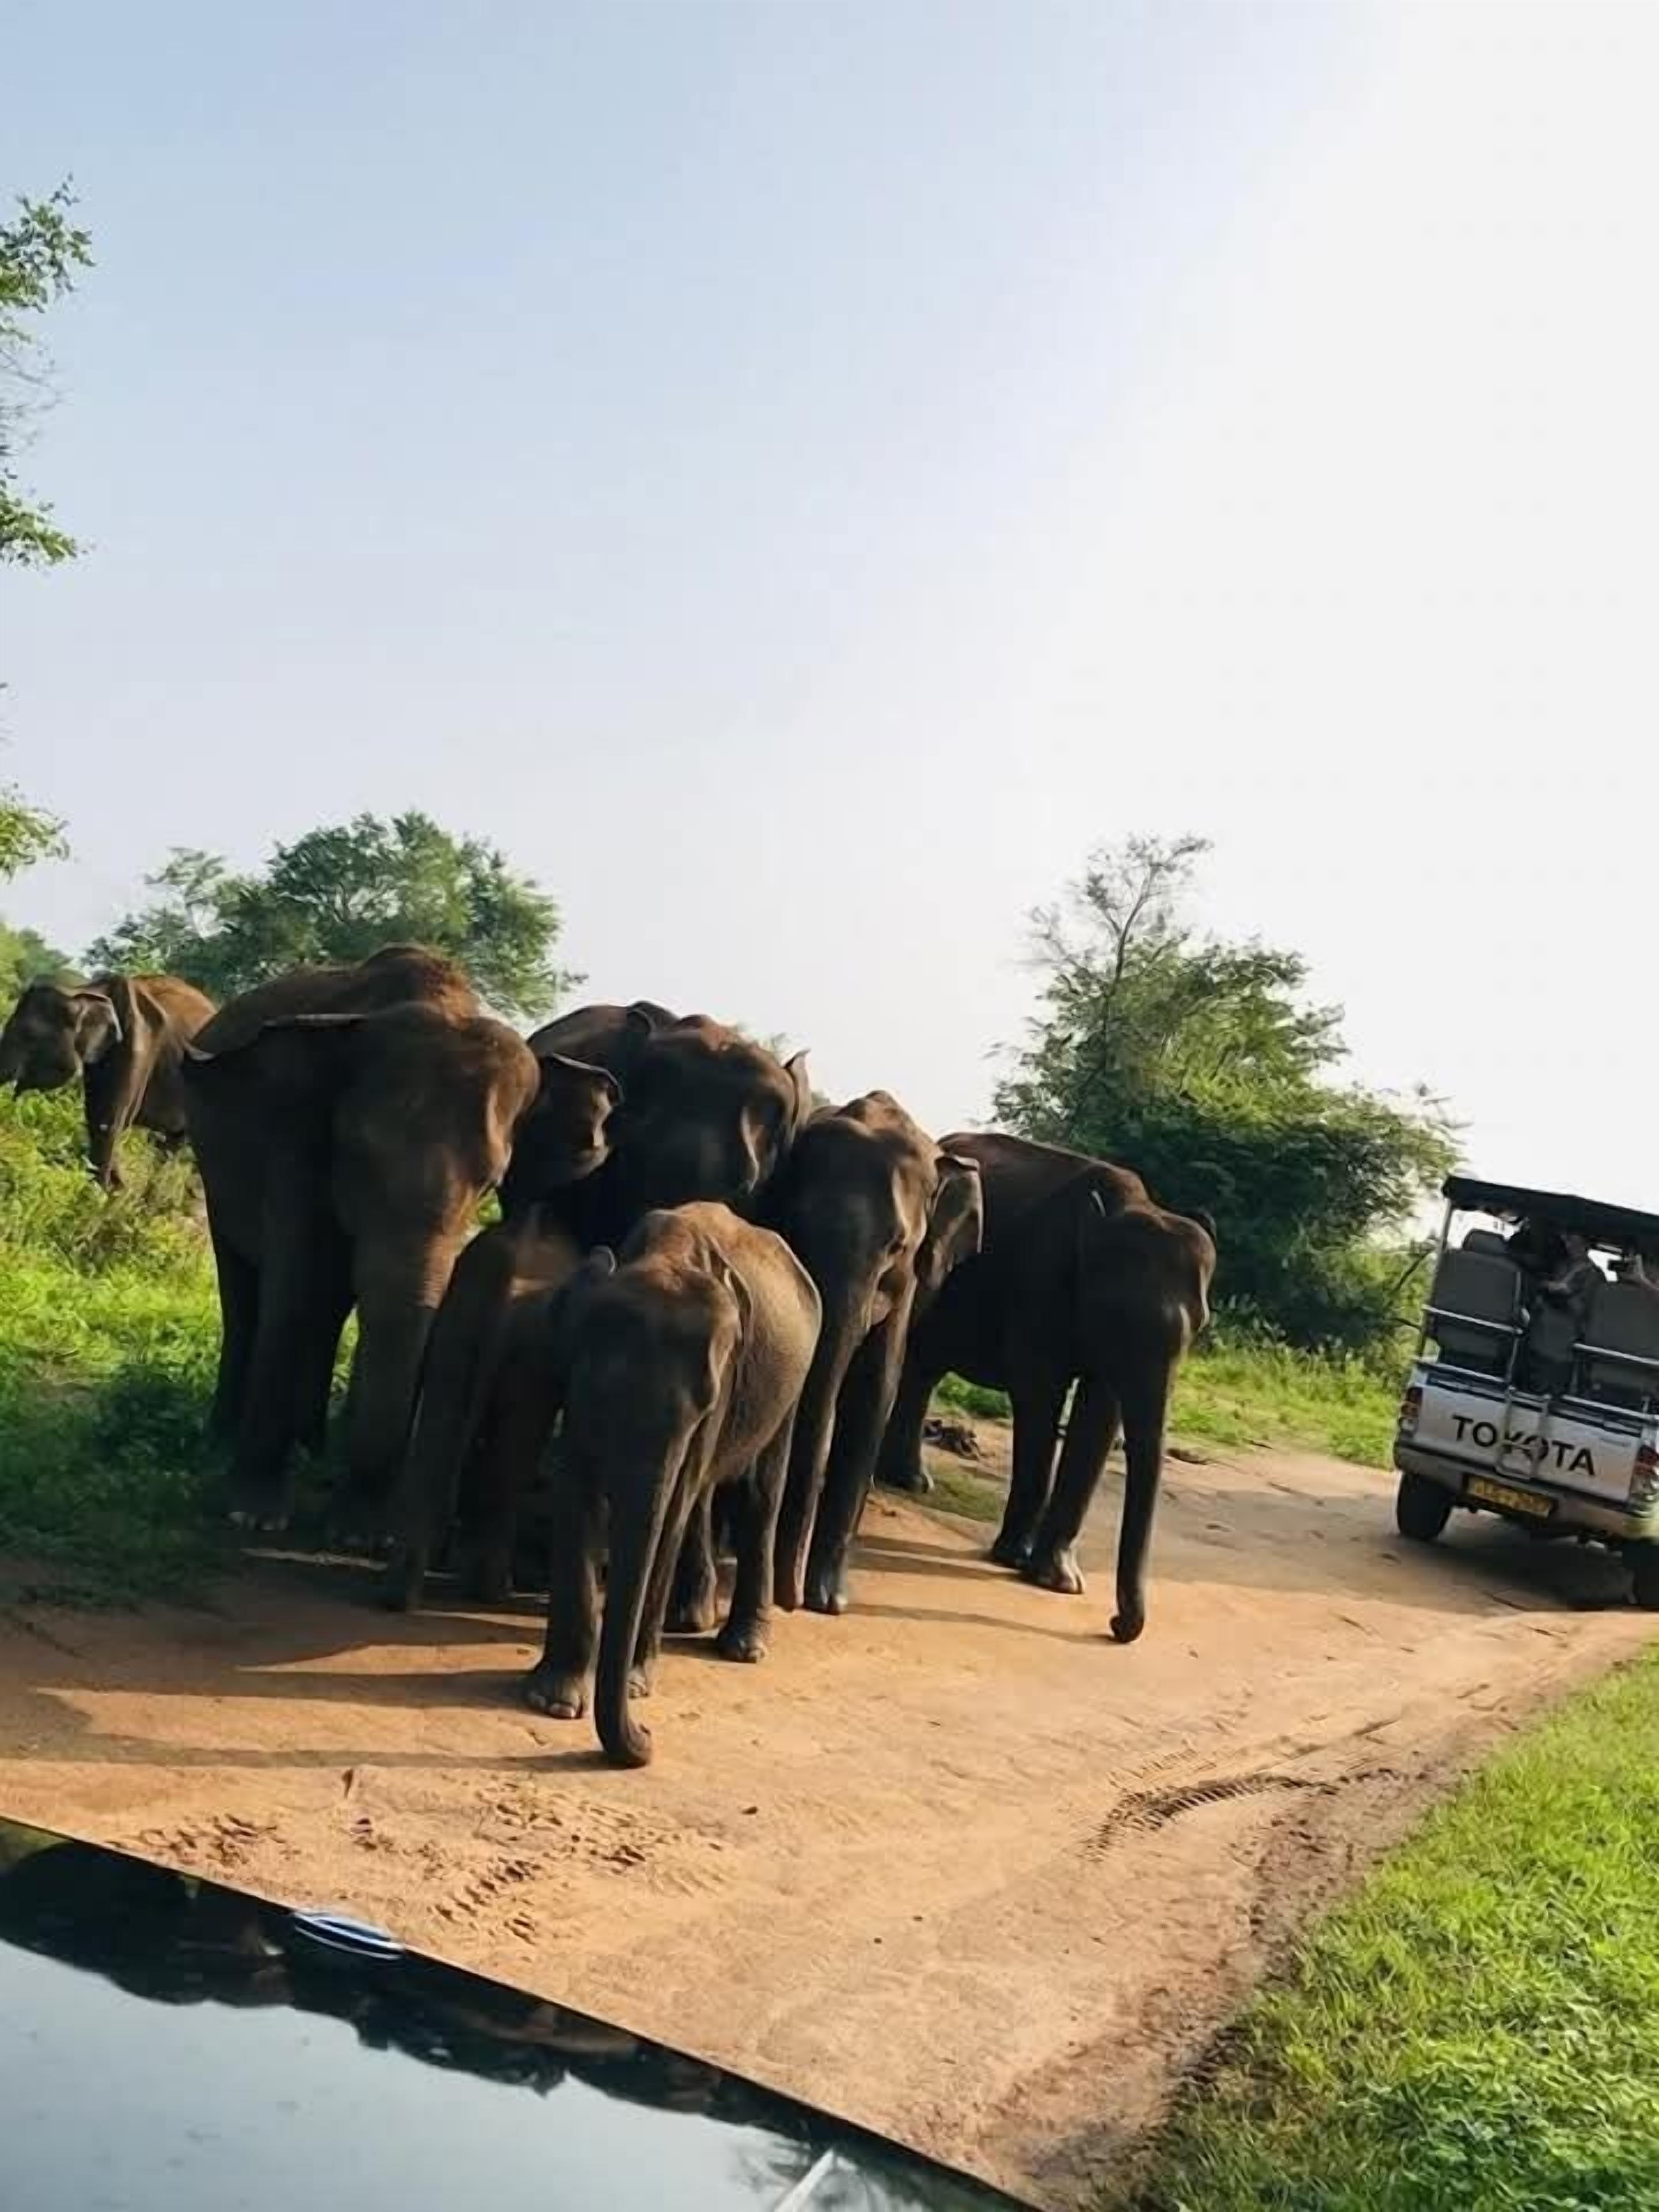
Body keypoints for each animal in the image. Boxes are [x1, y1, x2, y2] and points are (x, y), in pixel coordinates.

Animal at [0, 972, 217, 1188]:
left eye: (29, 1035)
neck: (86, 992)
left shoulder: (138, 1049)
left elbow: (109, 1122)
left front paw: (98, 1193)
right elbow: (96, 1116)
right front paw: (113, 1186)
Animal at [184, 947, 617, 1530]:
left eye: (491, 1181)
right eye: (356, 1155)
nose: (358, 1504)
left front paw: (360, 1526)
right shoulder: (296, 1136)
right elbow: (296, 1285)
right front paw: (252, 1515)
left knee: (332, 1306)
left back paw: (313, 1446)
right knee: (246, 1287)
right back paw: (224, 1438)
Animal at [520, 1202, 821, 1767]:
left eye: (703, 1403)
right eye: (599, 1390)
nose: (649, 1736)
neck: (667, 1257)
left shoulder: (722, 1393)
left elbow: (671, 1508)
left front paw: (637, 1686)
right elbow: (579, 1490)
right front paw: (552, 1702)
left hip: (792, 1387)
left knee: (757, 1495)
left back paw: (743, 1648)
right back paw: (691, 1620)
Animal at [876, 1133, 1215, 1645]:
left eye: (1201, 1327)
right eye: (1115, 1315)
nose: (1116, 1626)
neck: (1125, 1206)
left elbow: (1099, 1415)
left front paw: (1059, 1582)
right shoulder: (1040, 1281)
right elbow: (1040, 1392)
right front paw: (1015, 1560)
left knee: (924, 1367)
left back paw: (911, 1482)